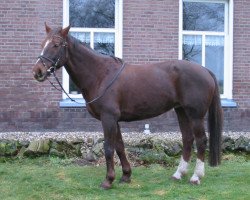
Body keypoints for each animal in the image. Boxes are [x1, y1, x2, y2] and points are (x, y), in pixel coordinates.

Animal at [32, 23, 223, 189]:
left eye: (56, 45)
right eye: (42, 44)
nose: (37, 71)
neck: (101, 74)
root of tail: (205, 70)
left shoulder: (108, 118)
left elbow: (109, 148)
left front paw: (108, 180)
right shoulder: (114, 120)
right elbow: (120, 147)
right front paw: (125, 176)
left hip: (195, 115)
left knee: (201, 140)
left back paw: (196, 177)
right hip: (181, 111)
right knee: (187, 139)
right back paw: (178, 174)